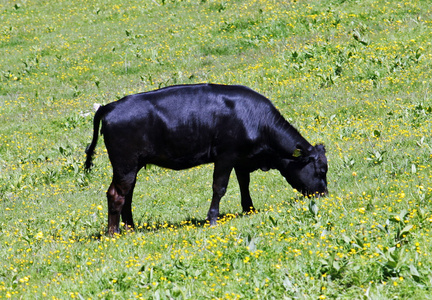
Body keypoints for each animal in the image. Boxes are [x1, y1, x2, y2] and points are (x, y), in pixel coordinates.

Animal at [85, 84, 328, 234]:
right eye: (321, 170)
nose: (325, 194)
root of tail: (109, 106)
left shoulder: (241, 159)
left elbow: (244, 184)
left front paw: (249, 210)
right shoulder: (226, 156)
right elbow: (219, 188)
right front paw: (212, 219)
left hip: (132, 166)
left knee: (128, 195)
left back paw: (130, 228)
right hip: (124, 164)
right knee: (116, 194)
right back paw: (114, 233)